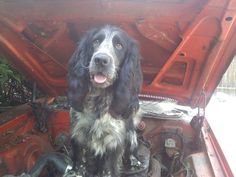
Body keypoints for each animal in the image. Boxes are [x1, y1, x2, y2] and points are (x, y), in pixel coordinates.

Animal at [67, 25, 143, 177]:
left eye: (119, 45)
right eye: (95, 41)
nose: (101, 60)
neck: (98, 99)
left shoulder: (113, 143)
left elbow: (109, 169)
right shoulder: (78, 135)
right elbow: (79, 163)